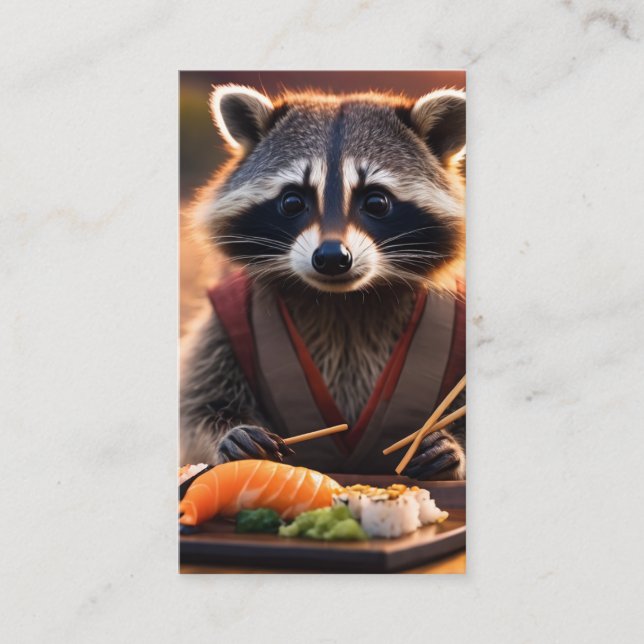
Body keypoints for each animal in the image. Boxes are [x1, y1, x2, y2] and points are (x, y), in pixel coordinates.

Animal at [181, 84, 466, 479]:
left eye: (376, 202)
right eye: (292, 201)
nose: (332, 258)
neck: (341, 299)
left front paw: (451, 447)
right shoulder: (226, 320)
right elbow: (199, 403)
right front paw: (229, 433)